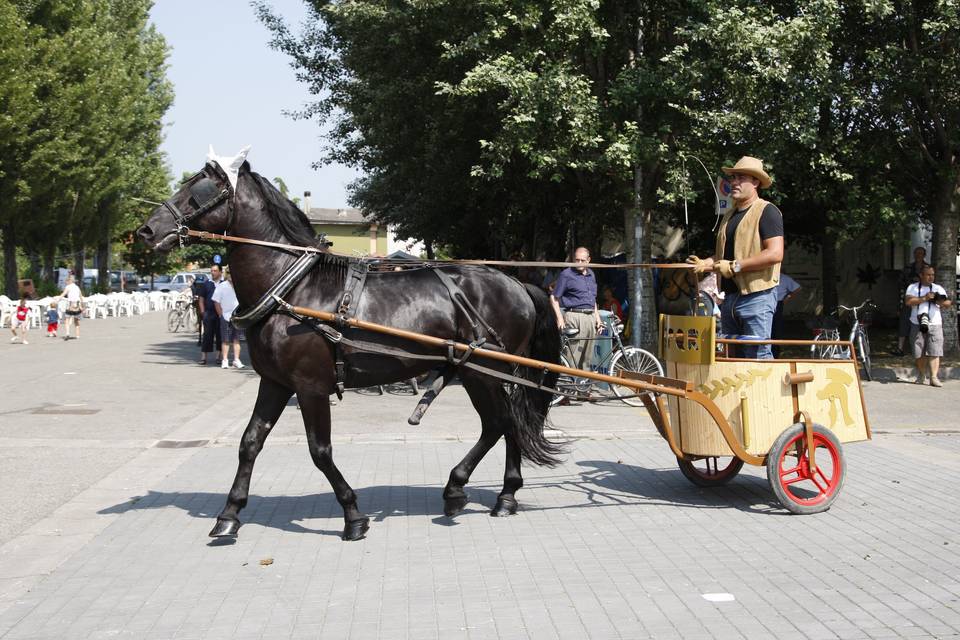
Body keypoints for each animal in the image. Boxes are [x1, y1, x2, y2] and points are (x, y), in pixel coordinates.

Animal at [137, 158, 564, 536]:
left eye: (199, 190)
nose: (146, 231)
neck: (292, 289)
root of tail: (517, 283)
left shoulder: (310, 387)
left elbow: (320, 451)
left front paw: (353, 515)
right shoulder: (275, 383)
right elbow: (250, 442)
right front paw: (229, 514)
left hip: (484, 372)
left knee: (503, 423)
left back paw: (482, 491)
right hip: (480, 372)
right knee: (503, 423)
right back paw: (486, 492)